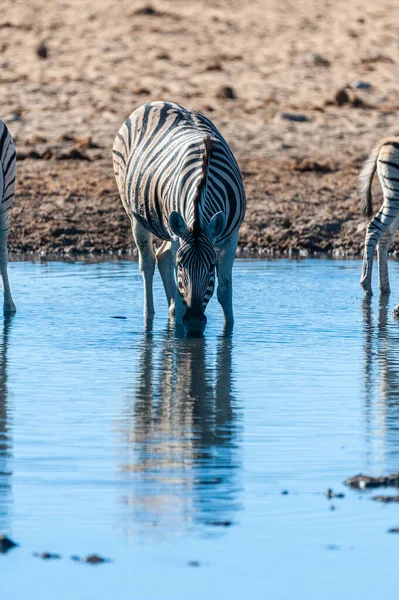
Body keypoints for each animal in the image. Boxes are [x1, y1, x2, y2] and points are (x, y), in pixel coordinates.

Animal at [111, 101, 245, 336]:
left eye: (212, 265)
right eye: (181, 264)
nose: (194, 324)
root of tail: (156, 102)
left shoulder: (230, 237)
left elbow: (224, 291)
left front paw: (228, 331)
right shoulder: (178, 239)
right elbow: (182, 291)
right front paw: (180, 334)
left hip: (171, 227)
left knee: (162, 256)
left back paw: (172, 310)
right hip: (137, 217)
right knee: (148, 263)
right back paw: (150, 316)